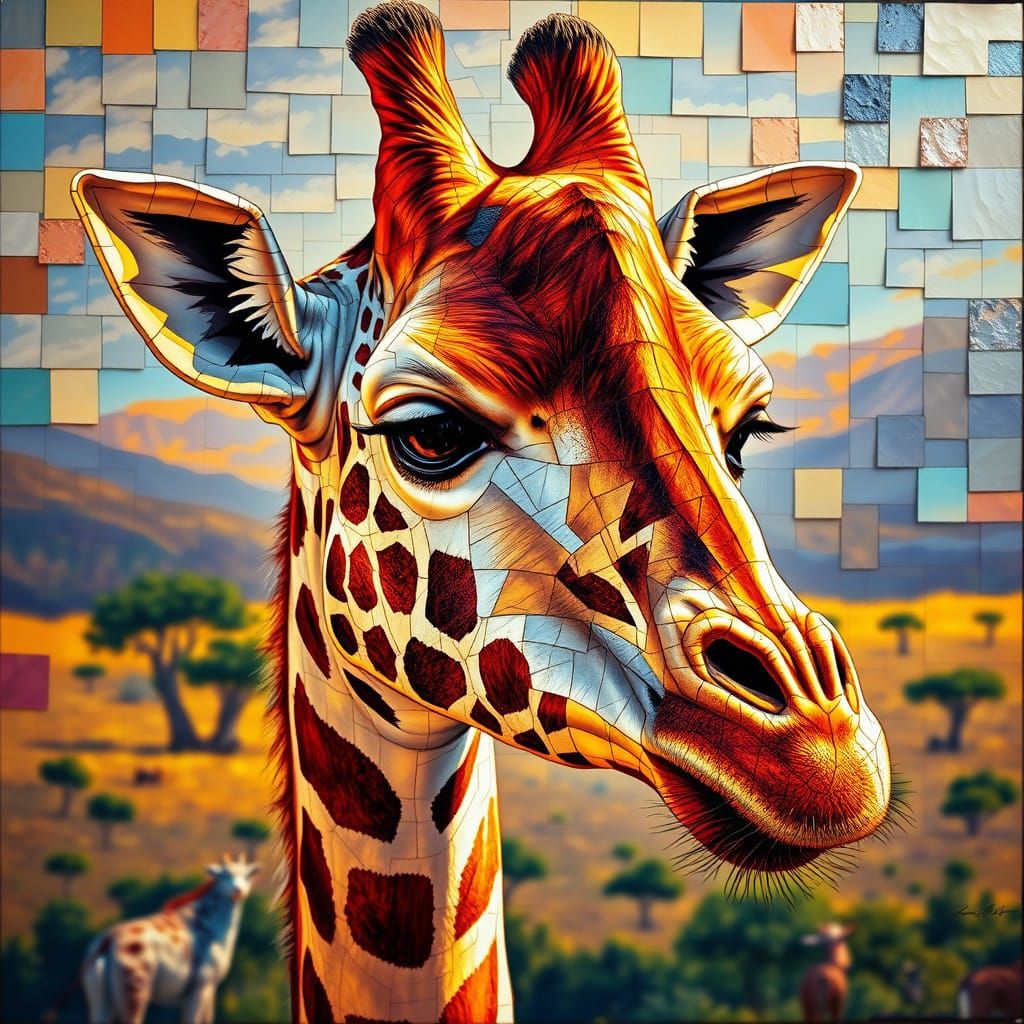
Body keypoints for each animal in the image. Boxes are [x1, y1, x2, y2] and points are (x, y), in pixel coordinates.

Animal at [81, 855, 259, 1024]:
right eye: (224, 875)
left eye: (247, 875)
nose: (238, 890)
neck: (213, 928)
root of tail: (106, 941)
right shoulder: (201, 985)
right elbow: (193, 1020)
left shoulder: (208, 989)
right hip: (136, 990)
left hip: (100, 996)